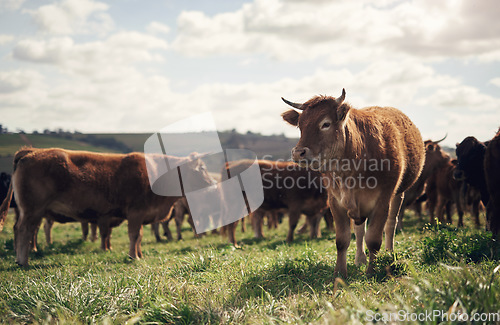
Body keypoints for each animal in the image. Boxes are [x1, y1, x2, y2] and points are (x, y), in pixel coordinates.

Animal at [0, 147, 213, 266]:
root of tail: (31, 152)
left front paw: (139, 254)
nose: (212, 183)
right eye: (202, 168)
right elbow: (134, 235)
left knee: (20, 230)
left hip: (30, 211)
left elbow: (139, 236)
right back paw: (23, 260)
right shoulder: (135, 212)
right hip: (32, 210)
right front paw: (133, 256)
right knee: (25, 231)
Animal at [284, 88, 424, 276]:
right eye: (300, 125)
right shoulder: (335, 201)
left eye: (325, 124)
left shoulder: (382, 200)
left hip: (398, 194)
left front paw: (372, 271)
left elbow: (374, 239)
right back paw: (360, 259)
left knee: (390, 225)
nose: (298, 153)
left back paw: (389, 253)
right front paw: (339, 273)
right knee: (359, 230)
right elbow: (342, 240)